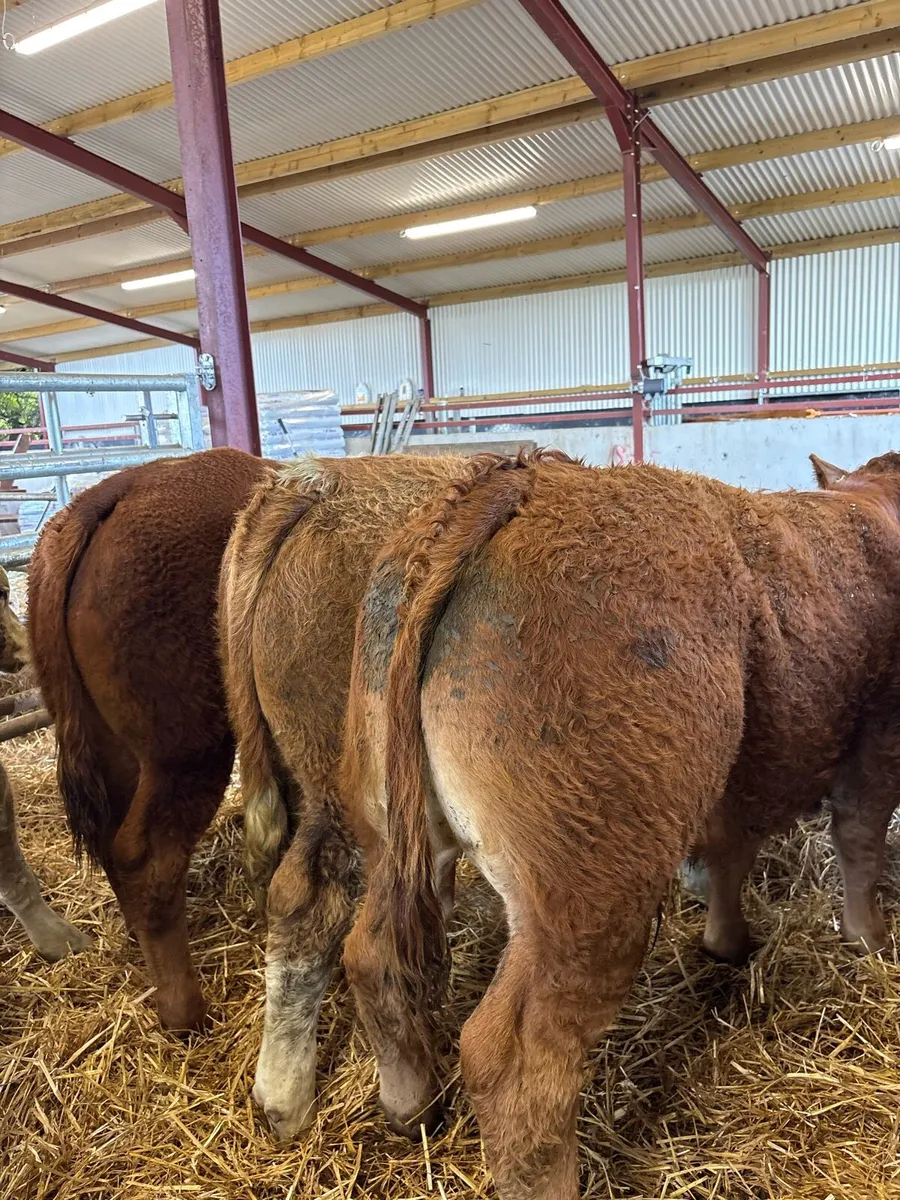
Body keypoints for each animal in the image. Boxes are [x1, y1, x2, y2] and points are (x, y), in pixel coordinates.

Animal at [27, 448, 268, 1029]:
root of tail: (100, 502)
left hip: (118, 751)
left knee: (113, 841)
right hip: (189, 753)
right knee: (145, 855)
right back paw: (186, 1011)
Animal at [340, 450, 900, 1200]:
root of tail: (522, 478)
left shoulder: (741, 770)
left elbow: (731, 846)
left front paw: (726, 941)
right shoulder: (881, 737)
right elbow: (861, 840)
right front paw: (869, 941)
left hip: (388, 831)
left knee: (373, 955)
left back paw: (410, 1106)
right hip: (589, 890)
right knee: (518, 1061)